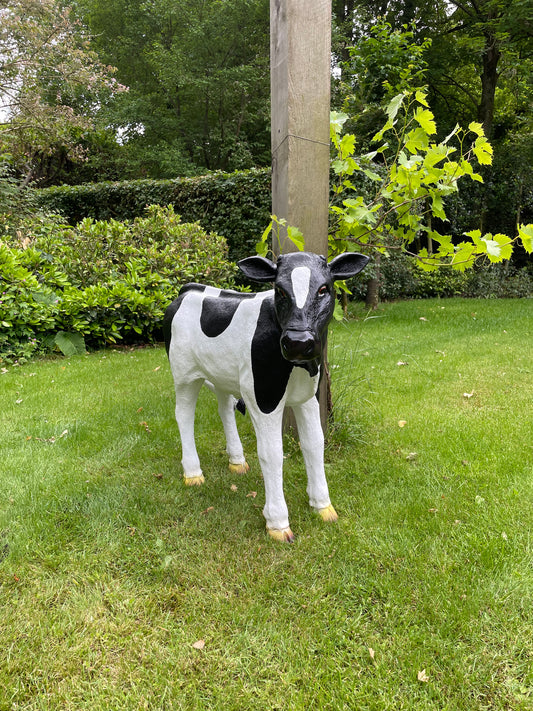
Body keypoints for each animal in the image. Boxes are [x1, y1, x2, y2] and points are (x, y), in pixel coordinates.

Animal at [163, 250, 369, 541]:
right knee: (183, 415)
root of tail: (190, 289)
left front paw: (323, 506)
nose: (298, 342)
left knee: (224, 409)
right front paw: (278, 522)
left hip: (222, 374)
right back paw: (193, 473)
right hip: (184, 374)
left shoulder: (309, 396)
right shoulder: (264, 398)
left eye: (324, 288)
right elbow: (271, 452)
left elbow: (314, 443)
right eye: (279, 290)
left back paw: (237, 461)